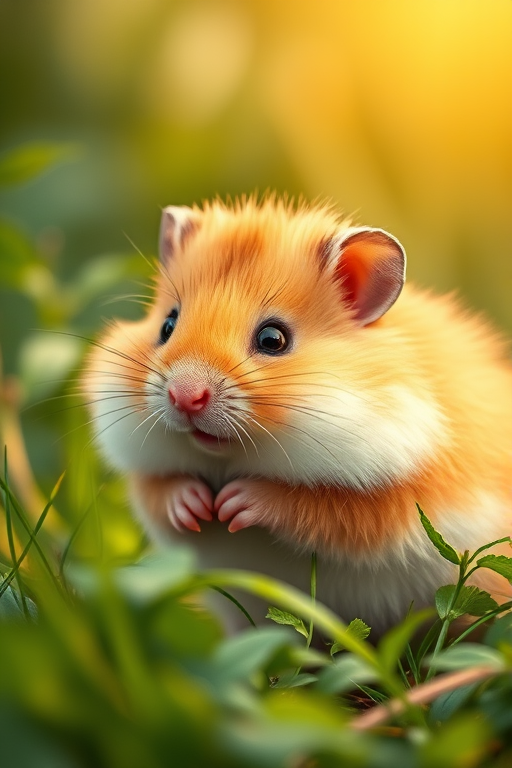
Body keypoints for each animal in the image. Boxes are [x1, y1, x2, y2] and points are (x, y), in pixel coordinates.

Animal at [84, 197, 512, 634]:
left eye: (273, 339)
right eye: (167, 325)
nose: (184, 397)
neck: (233, 458)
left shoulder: (395, 508)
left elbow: (320, 507)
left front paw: (233, 505)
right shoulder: (148, 487)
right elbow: (159, 492)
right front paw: (196, 505)